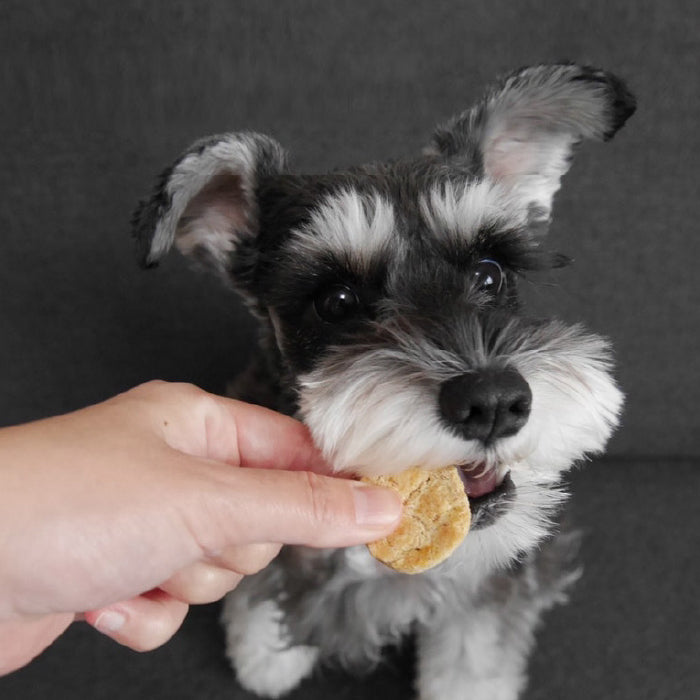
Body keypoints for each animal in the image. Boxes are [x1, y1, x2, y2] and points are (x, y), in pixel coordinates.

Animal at [130, 63, 636, 696]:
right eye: (337, 302)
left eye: (490, 272)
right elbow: (258, 590)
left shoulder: (485, 591)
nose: (493, 402)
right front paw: (263, 658)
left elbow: (475, 654)